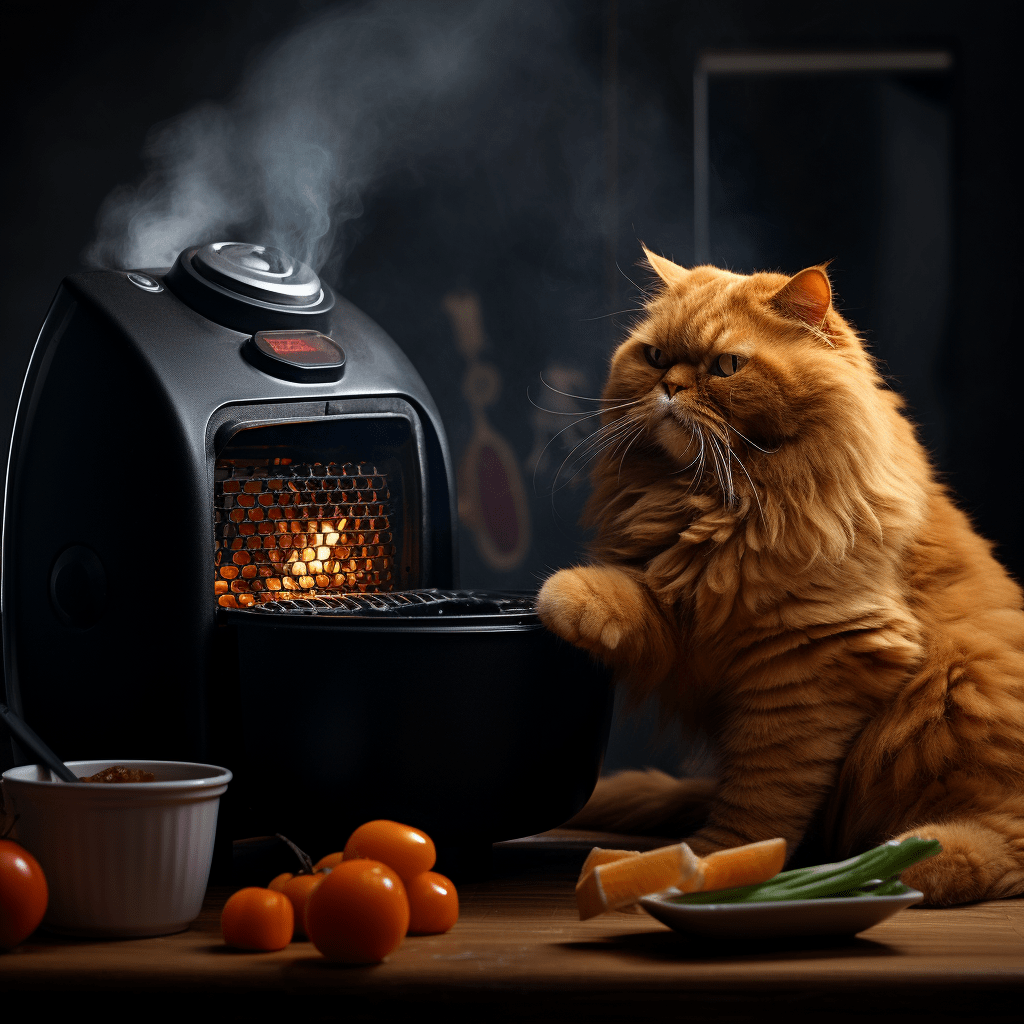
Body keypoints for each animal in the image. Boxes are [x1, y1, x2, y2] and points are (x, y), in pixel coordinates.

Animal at [536, 247, 1024, 905]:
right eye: (656, 357)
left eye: (726, 366)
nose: (670, 388)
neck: (719, 502)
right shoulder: (688, 618)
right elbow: (626, 598)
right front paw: (561, 596)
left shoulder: (813, 660)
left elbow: (762, 795)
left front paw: (712, 863)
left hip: (961, 684)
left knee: (1003, 836)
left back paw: (912, 859)